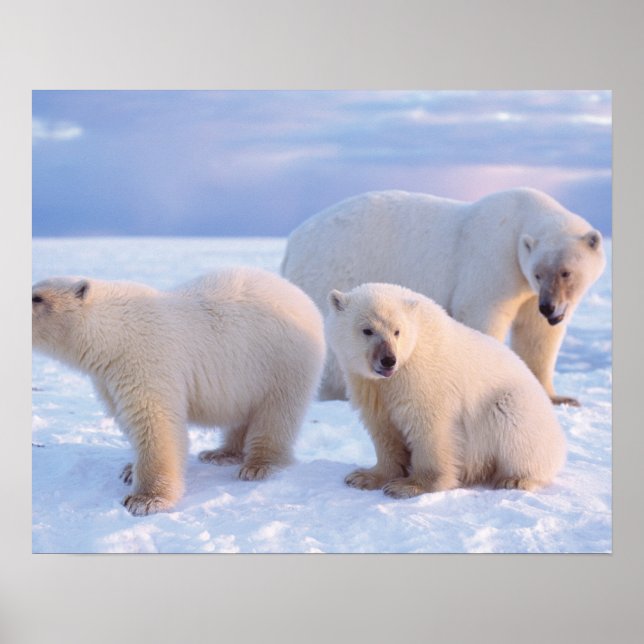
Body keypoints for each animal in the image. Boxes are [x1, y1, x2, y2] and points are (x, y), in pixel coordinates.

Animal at [32, 267, 326, 516]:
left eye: (37, 297)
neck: (114, 333)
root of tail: (301, 296)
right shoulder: (108, 378)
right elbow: (127, 418)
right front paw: (129, 470)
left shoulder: (146, 360)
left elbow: (154, 423)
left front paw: (145, 499)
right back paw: (221, 453)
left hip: (281, 361)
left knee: (276, 413)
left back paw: (258, 466)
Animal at [282, 188, 606, 406]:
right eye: (540, 273)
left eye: (566, 273)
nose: (550, 308)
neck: (519, 220)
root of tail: (293, 241)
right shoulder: (493, 262)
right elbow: (482, 314)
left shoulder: (525, 289)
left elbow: (537, 335)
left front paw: (558, 396)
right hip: (335, 268)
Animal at [325, 282, 567, 498]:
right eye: (367, 330)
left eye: (397, 331)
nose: (388, 360)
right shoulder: (369, 386)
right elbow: (383, 429)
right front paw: (364, 477)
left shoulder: (422, 378)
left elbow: (430, 429)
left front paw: (408, 486)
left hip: (518, 407)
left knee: (513, 424)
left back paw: (515, 479)